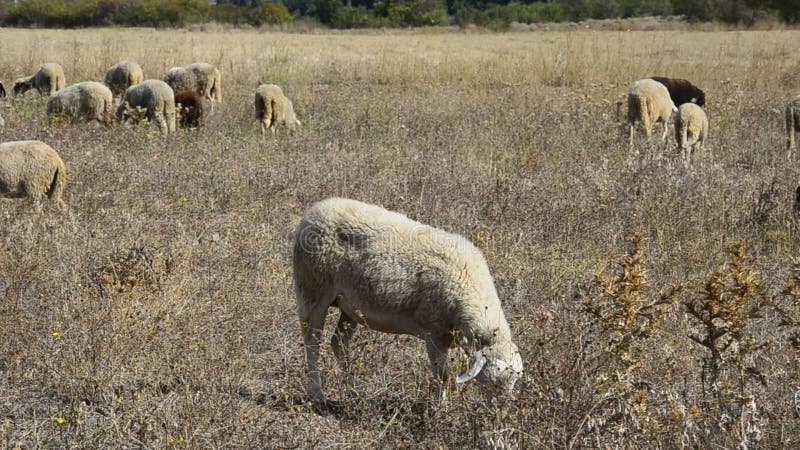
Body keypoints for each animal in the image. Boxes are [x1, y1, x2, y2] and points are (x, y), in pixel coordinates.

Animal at [294, 197, 524, 404]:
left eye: (514, 381)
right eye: (494, 382)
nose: (502, 410)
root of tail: (314, 211)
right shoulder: (434, 332)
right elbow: (443, 375)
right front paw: (439, 408)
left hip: (350, 306)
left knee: (339, 343)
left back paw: (357, 391)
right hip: (312, 288)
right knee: (312, 342)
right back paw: (317, 394)